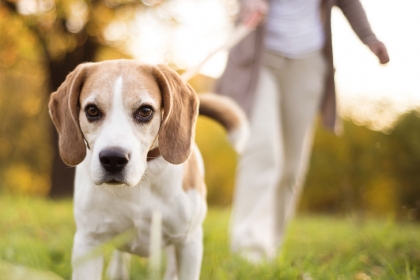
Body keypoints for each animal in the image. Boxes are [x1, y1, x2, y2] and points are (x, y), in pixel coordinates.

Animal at [47, 59, 248, 280]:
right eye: (92, 110)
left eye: (145, 111)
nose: (113, 159)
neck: (142, 181)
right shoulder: (88, 243)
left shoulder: (189, 243)